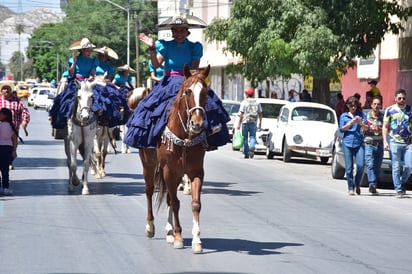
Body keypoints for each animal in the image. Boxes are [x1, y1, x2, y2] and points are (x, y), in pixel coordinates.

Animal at [141, 64, 211, 253]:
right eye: (188, 91)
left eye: (205, 92)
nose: (197, 124)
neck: (184, 138)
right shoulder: (169, 171)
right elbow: (176, 202)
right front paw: (179, 237)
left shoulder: (196, 172)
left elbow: (195, 203)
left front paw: (196, 240)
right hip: (149, 166)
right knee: (149, 191)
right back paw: (150, 227)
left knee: (167, 198)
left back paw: (169, 231)